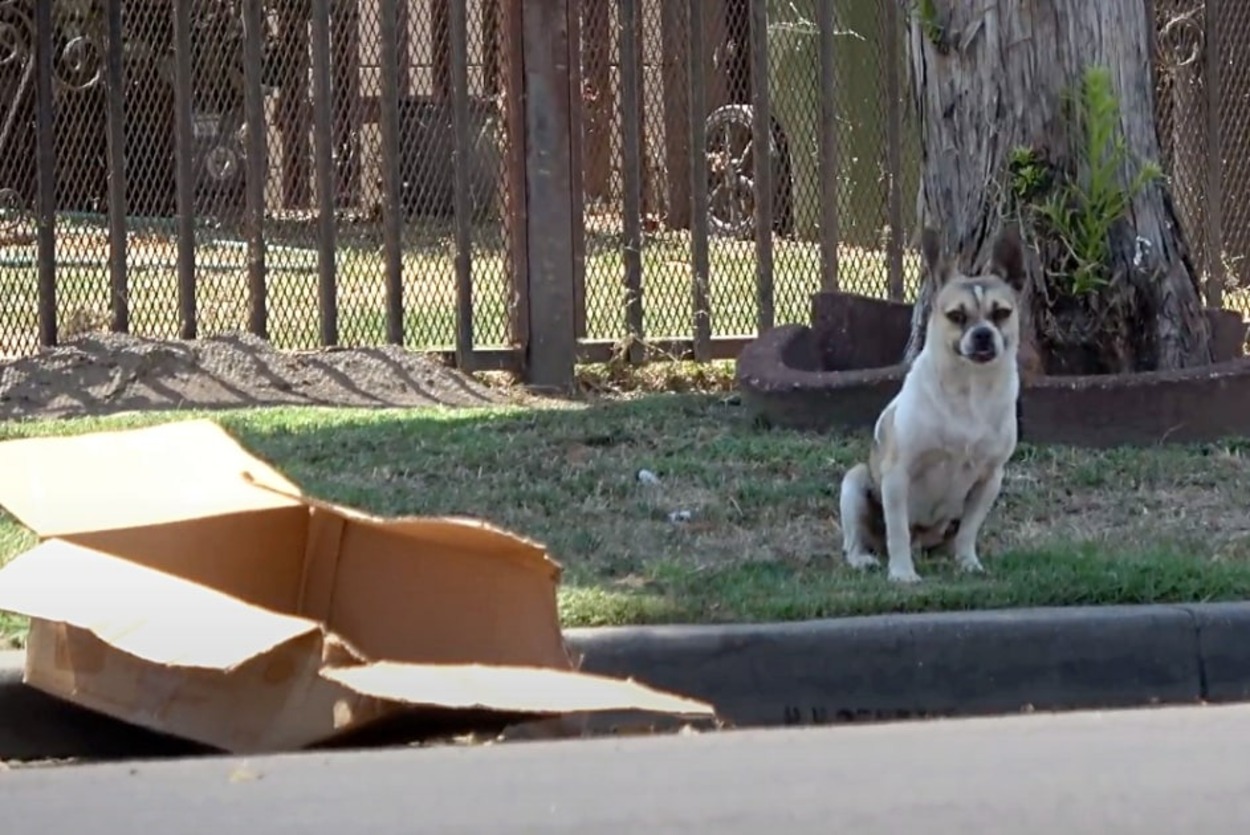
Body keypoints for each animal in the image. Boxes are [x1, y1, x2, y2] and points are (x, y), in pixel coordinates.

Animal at [840, 225, 1025, 585]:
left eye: (1001, 313)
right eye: (956, 316)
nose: (983, 334)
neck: (970, 388)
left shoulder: (989, 479)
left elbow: (968, 530)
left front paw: (968, 563)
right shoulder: (897, 475)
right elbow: (897, 531)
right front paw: (902, 574)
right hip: (854, 483)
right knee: (858, 539)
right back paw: (864, 560)